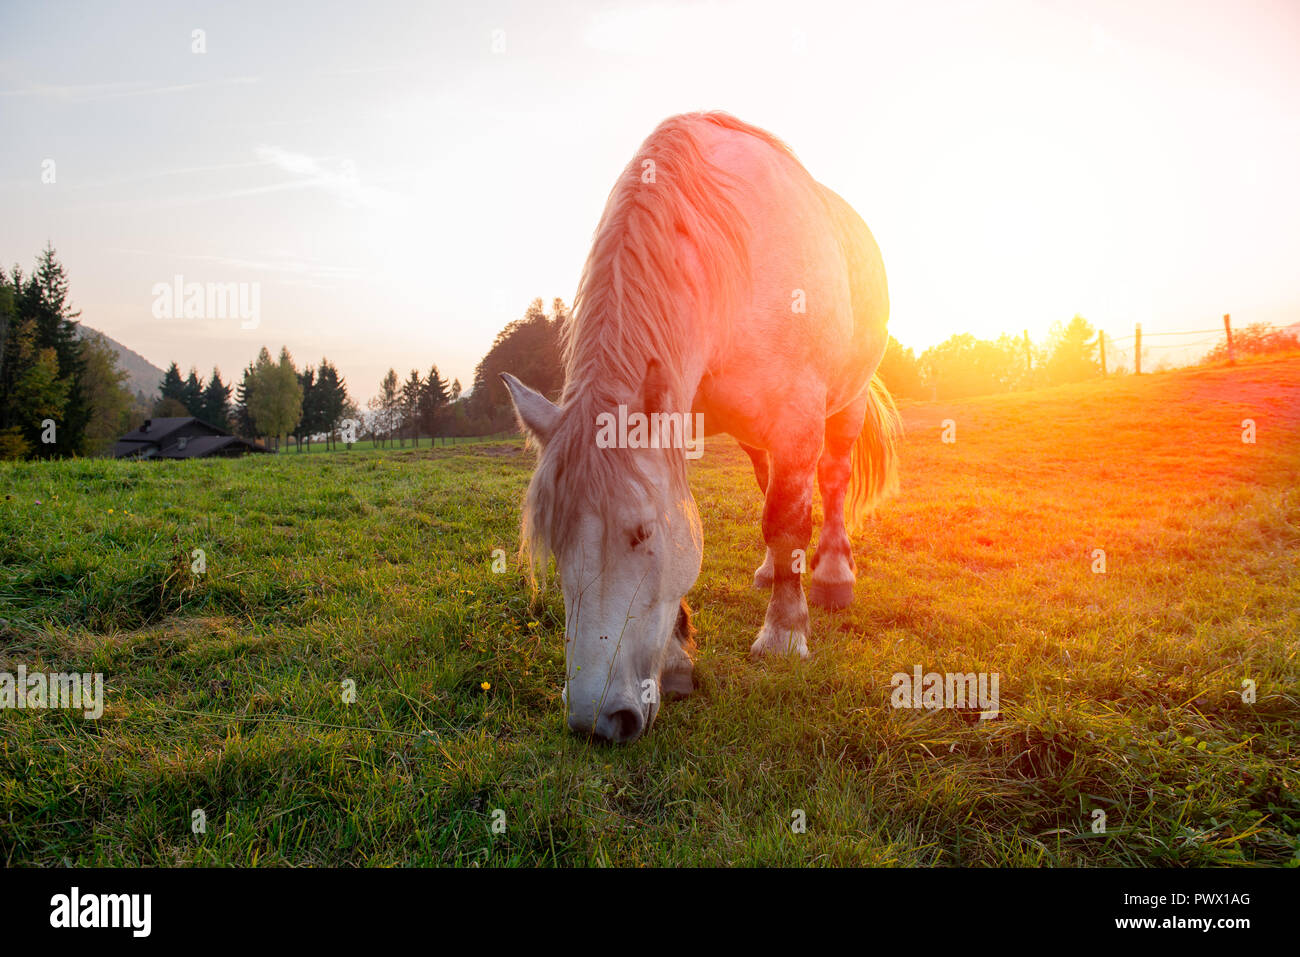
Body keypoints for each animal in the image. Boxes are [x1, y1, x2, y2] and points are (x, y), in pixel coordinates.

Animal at [503, 111, 900, 743]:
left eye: (641, 533)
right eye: (554, 542)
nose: (596, 720)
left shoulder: (798, 413)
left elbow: (789, 518)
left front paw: (784, 634)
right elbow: (735, 517)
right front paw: (677, 661)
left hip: (847, 400)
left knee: (831, 481)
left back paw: (833, 575)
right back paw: (769, 571)